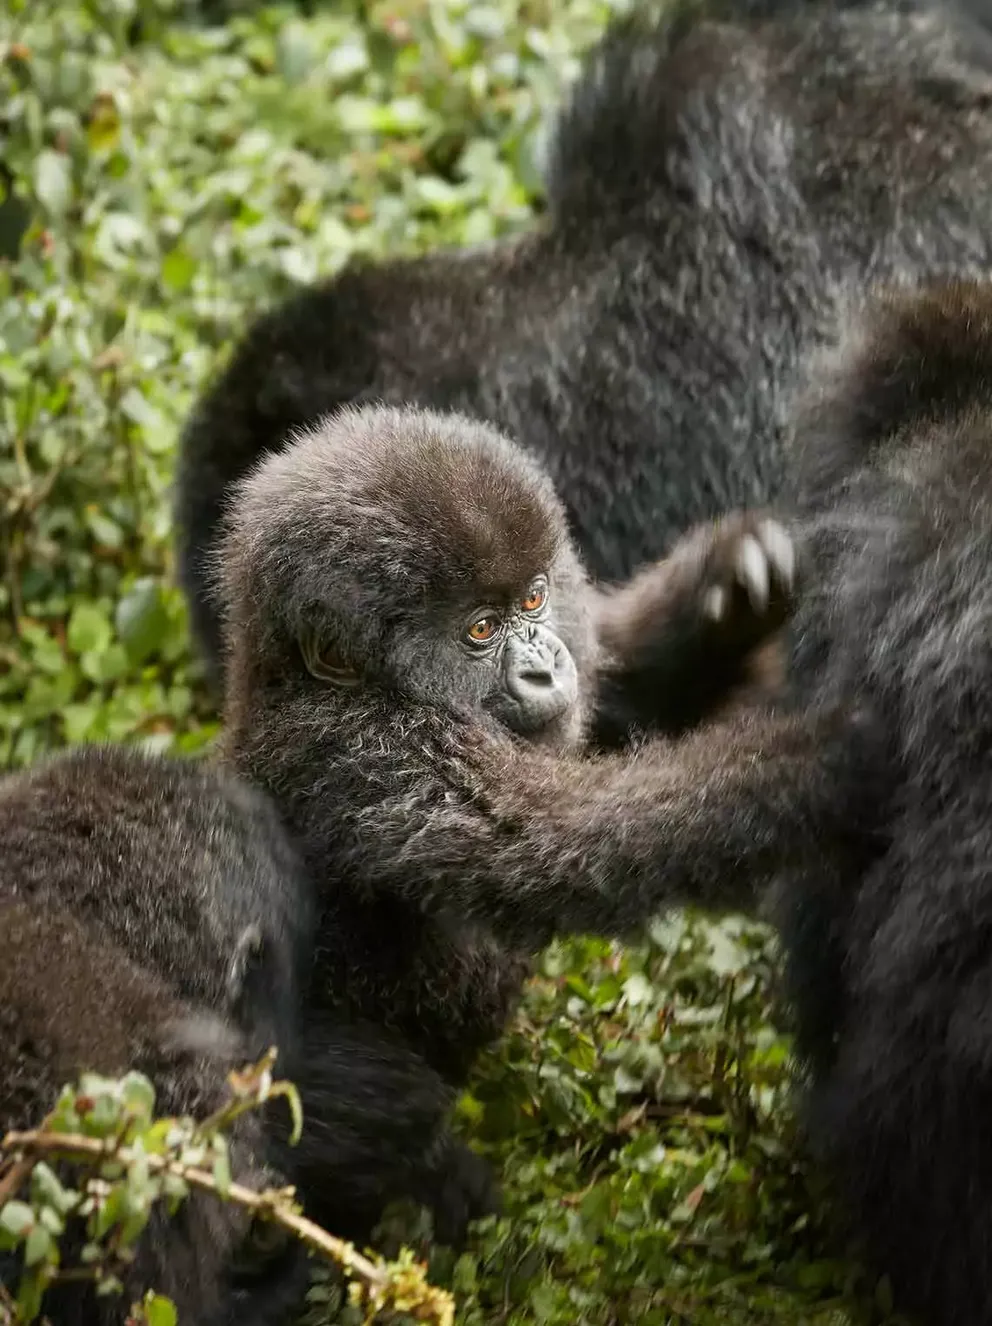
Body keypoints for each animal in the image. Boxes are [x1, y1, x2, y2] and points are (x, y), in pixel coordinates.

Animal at [213, 400, 843, 1241]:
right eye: (481, 631)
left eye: (534, 601)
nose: (546, 668)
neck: (305, 682)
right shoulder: (371, 757)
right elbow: (568, 844)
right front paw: (826, 758)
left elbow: (616, 674)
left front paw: (730, 588)